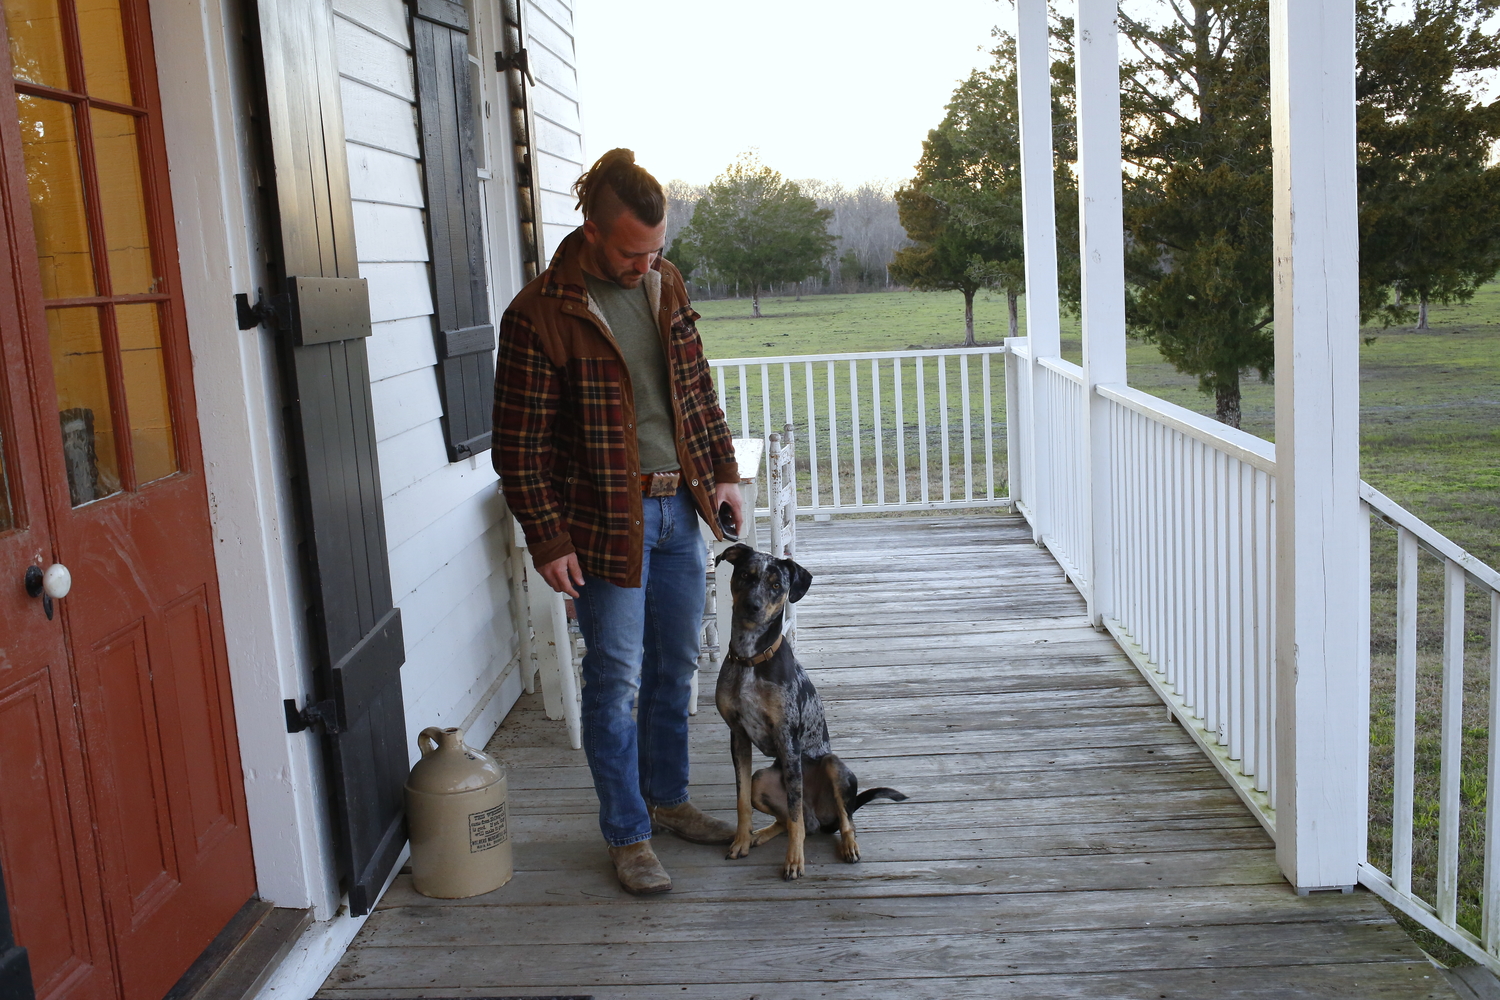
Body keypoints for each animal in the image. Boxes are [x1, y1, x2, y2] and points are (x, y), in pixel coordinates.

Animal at [711, 542, 906, 881]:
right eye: (746, 576)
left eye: (777, 585)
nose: (752, 606)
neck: (751, 658)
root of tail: (819, 816)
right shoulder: (738, 737)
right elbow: (742, 801)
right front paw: (741, 841)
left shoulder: (788, 740)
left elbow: (794, 813)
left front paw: (794, 861)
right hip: (762, 779)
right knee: (792, 819)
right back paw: (761, 834)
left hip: (834, 766)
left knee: (841, 819)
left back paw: (848, 845)